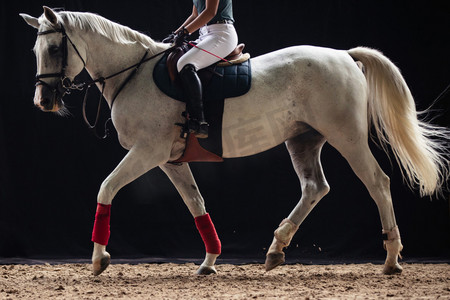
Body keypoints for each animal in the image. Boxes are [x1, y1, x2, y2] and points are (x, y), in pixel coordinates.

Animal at [20, 6, 446, 276]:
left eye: (55, 48)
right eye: (36, 49)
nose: (43, 101)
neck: (133, 73)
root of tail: (343, 55)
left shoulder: (147, 151)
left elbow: (106, 188)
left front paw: (98, 259)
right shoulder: (169, 159)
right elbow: (196, 203)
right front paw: (209, 262)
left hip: (348, 136)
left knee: (378, 183)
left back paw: (391, 260)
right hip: (304, 139)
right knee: (315, 187)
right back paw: (275, 250)